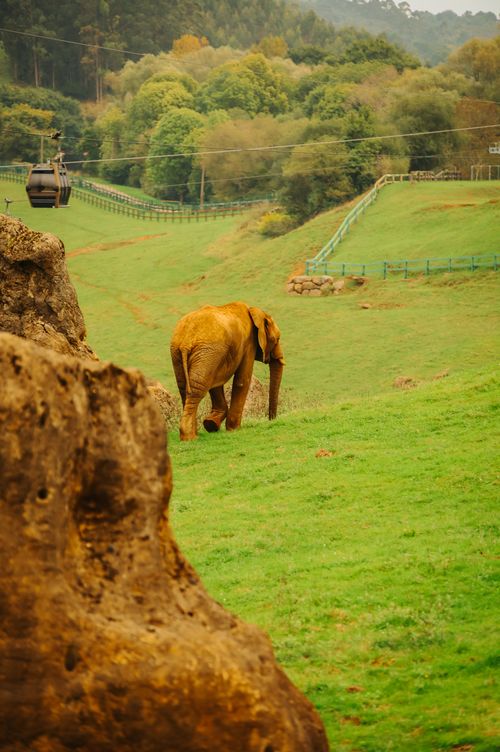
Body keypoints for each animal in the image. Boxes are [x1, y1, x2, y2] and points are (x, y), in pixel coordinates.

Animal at [170, 301, 285, 441]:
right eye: (277, 339)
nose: (271, 419)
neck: (254, 312)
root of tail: (186, 343)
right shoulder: (248, 343)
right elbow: (242, 380)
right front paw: (234, 429)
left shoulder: (218, 356)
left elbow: (216, 382)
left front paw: (211, 424)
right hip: (205, 351)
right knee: (196, 389)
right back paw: (189, 437)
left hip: (184, 353)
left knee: (185, 388)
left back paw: (194, 434)